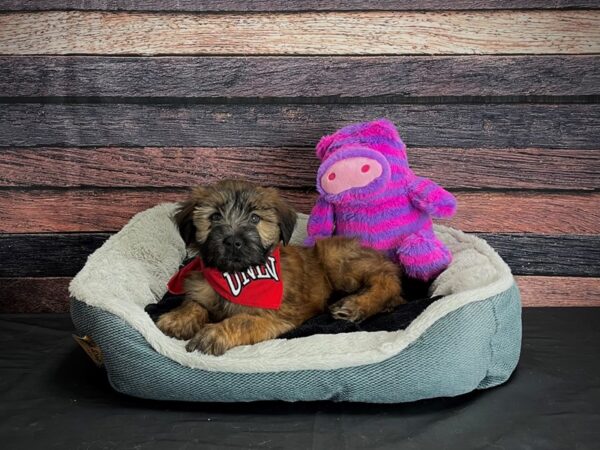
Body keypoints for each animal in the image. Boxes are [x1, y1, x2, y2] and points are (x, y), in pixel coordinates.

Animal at [157, 179, 406, 356]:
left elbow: (243, 320)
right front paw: (177, 319)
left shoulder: (276, 317)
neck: (236, 276)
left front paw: (215, 332)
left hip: (335, 258)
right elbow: (194, 303)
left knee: (386, 279)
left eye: (255, 218)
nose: (233, 241)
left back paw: (355, 305)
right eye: (215, 217)